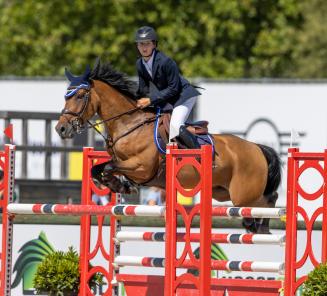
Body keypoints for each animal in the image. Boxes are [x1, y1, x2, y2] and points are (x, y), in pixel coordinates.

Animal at [55, 59, 282, 232]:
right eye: (65, 96)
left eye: (80, 96)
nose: (61, 129)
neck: (129, 125)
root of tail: (257, 148)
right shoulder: (123, 164)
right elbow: (97, 169)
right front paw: (119, 186)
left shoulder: (142, 168)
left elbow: (110, 167)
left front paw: (122, 185)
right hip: (222, 192)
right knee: (266, 200)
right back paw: (257, 226)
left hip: (242, 194)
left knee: (270, 200)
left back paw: (260, 226)